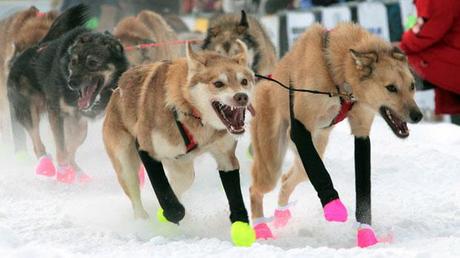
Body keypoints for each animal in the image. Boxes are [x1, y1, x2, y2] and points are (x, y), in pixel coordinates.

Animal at [7, 5, 128, 184]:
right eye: (73, 62)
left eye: (92, 62)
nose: (71, 82)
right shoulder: (56, 113)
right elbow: (62, 146)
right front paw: (63, 172)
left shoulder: (77, 119)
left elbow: (68, 146)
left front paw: (70, 170)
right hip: (28, 110)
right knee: (37, 142)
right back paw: (46, 165)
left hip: (77, 123)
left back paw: (77, 172)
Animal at [102, 39, 256, 246]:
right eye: (218, 83)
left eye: (244, 81)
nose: (242, 96)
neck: (191, 113)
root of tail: (117, 89)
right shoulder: (147, 151)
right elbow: (165, 193)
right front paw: (172, 213)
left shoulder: (226, 158)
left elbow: (235, 196)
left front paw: (241, 227)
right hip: (125, 163)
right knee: (136, 196)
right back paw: (144, 221)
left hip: (183, 169)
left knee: (179, 184)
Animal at [250, 23, 422, 247]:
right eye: (391, 88)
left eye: (412, 86)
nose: (418, 115)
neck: (336, 73)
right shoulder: (300, 128)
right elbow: (320, 173)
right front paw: (333, 206)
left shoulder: (361, 132)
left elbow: (364, 191)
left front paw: (366, 233)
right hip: (271, 164)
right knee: (256, 190)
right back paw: (260, 229)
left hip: (307, 158)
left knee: (287, 180)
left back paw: (281, 216)